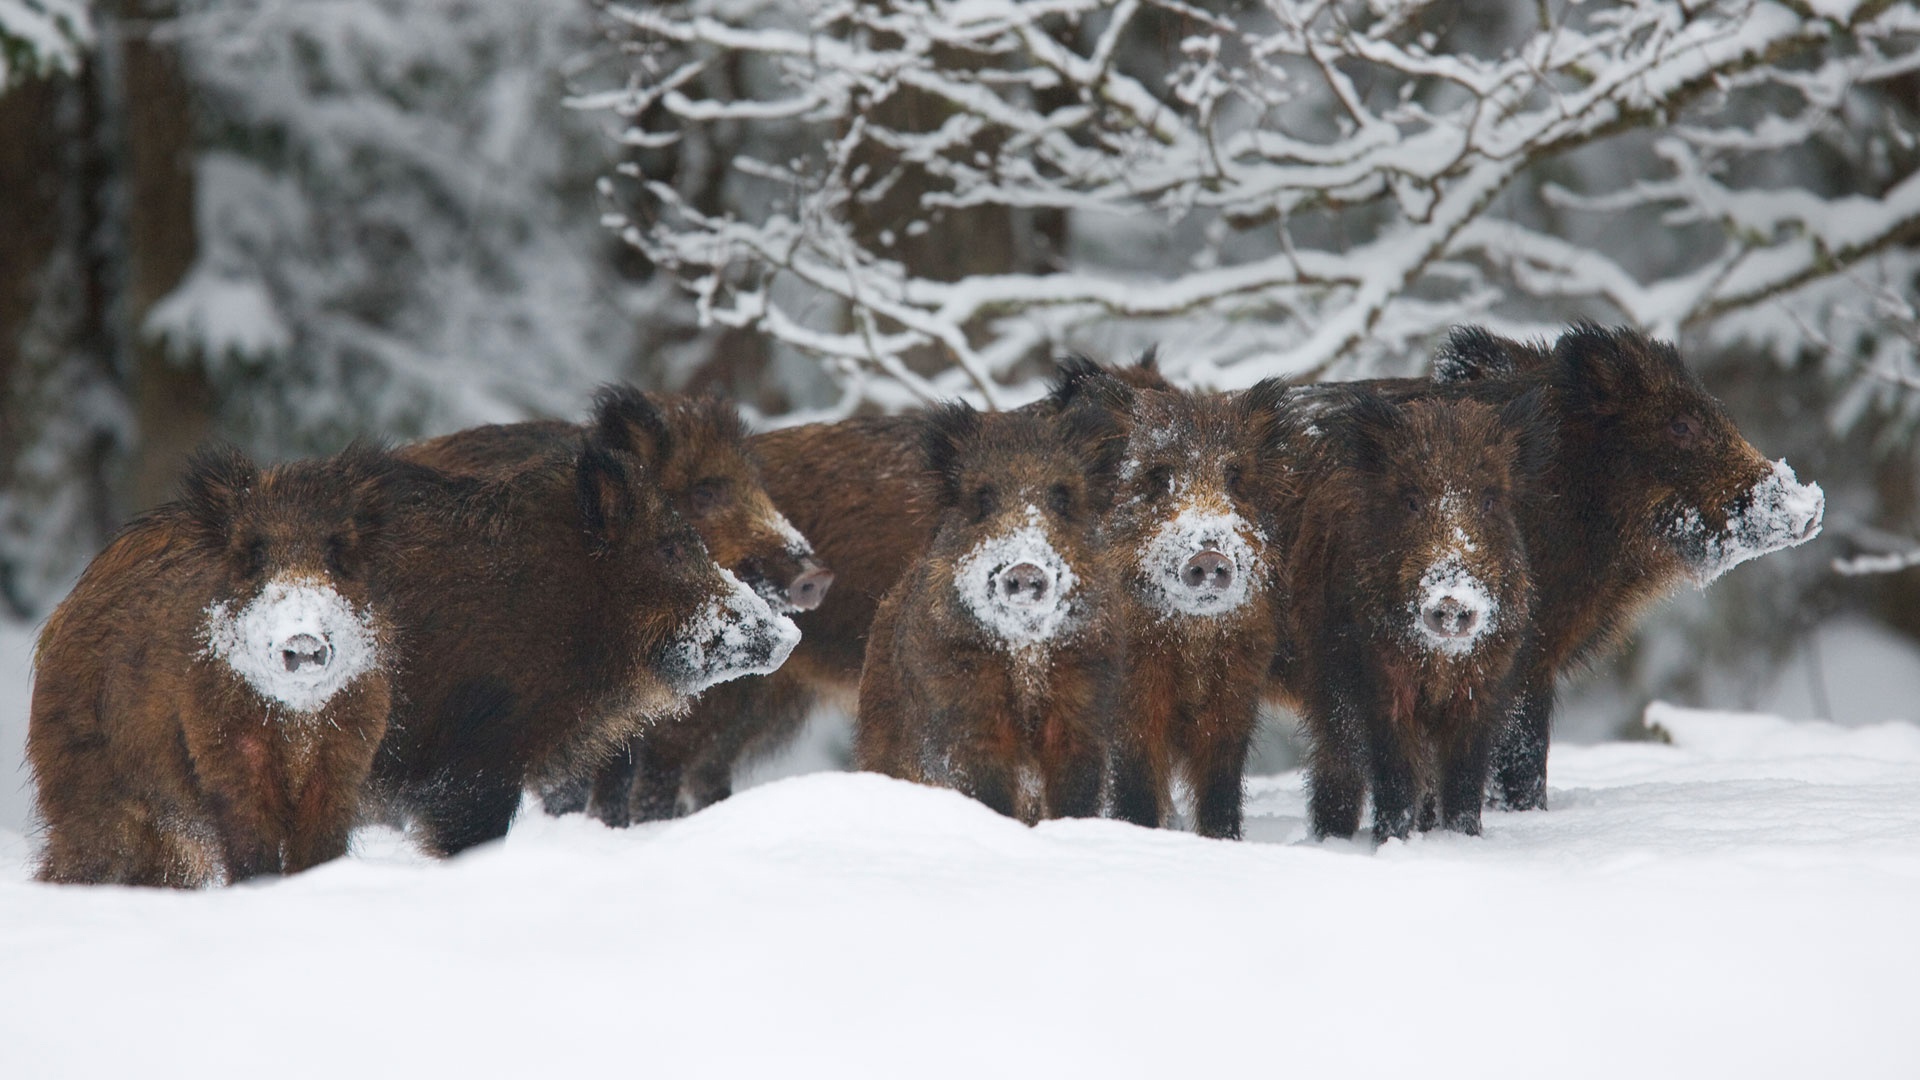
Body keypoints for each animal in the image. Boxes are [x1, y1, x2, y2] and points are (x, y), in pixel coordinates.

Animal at [29, 444, 399, 886]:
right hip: (90, 788)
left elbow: (318, 851)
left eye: (335, 551)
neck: (296, 724)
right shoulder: (224, 750)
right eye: (255, 553)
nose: (303, 639)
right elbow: (250, 845)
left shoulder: (345, 757)